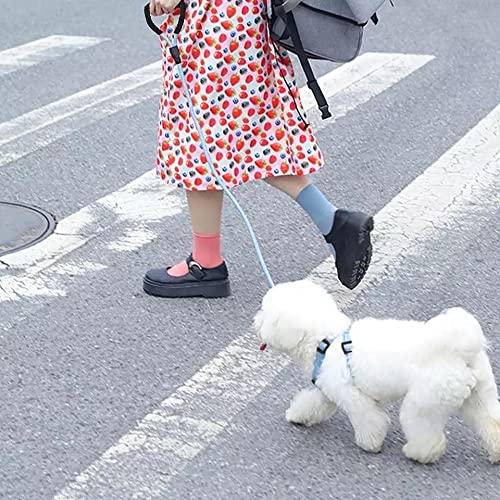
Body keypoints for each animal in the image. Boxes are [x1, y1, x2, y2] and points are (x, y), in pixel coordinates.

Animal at [254, 280, 500, 462]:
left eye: (265, 312)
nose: (255, 321)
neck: (326, 339)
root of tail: (460, 349)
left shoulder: (352, 396)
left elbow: (370, 419)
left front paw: (370, 444)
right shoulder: (327, 391)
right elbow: (312, 403)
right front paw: (297, 415)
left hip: (424, 402)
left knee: (426, 432)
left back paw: (418, 453)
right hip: (480, 394)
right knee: (491, 420)